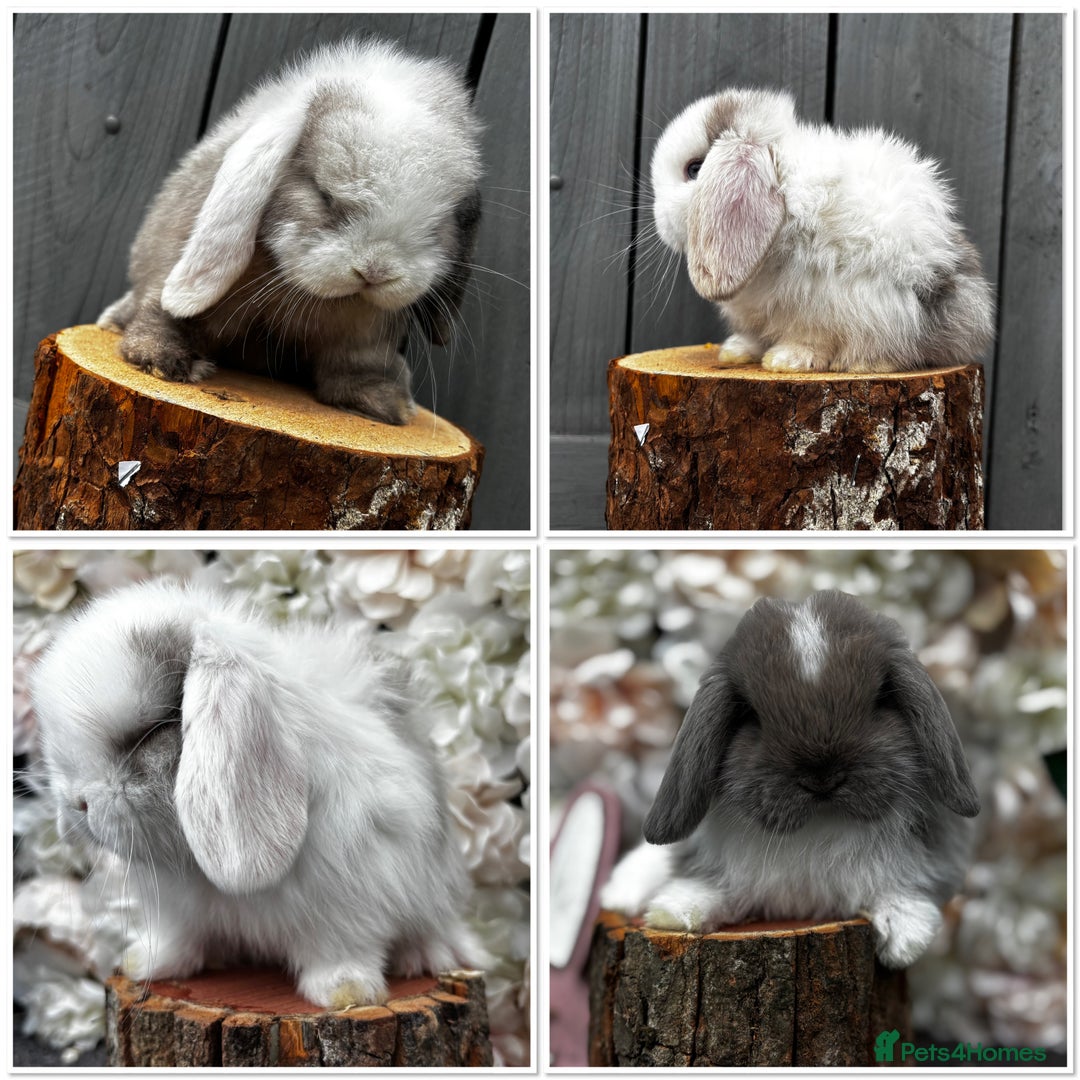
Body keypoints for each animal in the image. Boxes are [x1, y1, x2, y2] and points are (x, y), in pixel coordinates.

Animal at [30, 579, 484, 1008]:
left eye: (152, 730)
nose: (76, 803)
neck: (198, 870)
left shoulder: (350, 906)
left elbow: (342, 951)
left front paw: (346, 992)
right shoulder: (180, 915)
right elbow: (179, 942)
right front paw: (144, 963)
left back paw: (425, 957)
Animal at [97, 38, 483, 425]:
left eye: (437, 224)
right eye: (324, 195)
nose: (375, 271)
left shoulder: (365, 332)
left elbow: (359, 362)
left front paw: (383, 404)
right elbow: (172, 311)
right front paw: (164, 362)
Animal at [600, 590, 980, 968]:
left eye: (880, 700)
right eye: (749, 714)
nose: (822, 777)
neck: (819, 826)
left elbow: (904, 889)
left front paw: (905, 939)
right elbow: (713, 887)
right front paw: (674, 913)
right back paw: (618, 895)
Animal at [650, 87, 994, 374]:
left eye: (695, 169)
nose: (660, 221)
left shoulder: (818, 298)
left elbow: (812, 338)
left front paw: (784, 360)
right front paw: (736, 352)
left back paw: (863, 364)